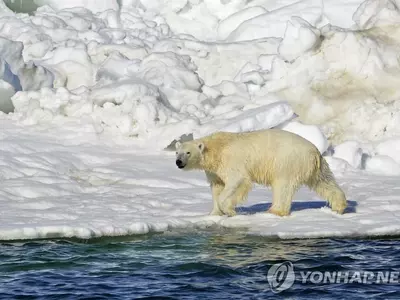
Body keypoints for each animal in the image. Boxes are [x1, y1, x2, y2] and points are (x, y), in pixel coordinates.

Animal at [175, 127, 346, 217]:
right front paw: (215, 213)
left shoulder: (231, 162)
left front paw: (229, 210)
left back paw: (275, 210)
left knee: (282, 187)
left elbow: (237, 181)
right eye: (177, 152)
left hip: (286, 162)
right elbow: (217, 187)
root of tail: (314, 151)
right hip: (315, 167)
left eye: (188, 152)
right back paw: (339, 206)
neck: (216, 148)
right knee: (324, 181)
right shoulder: (214, 170)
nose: (178, 162)